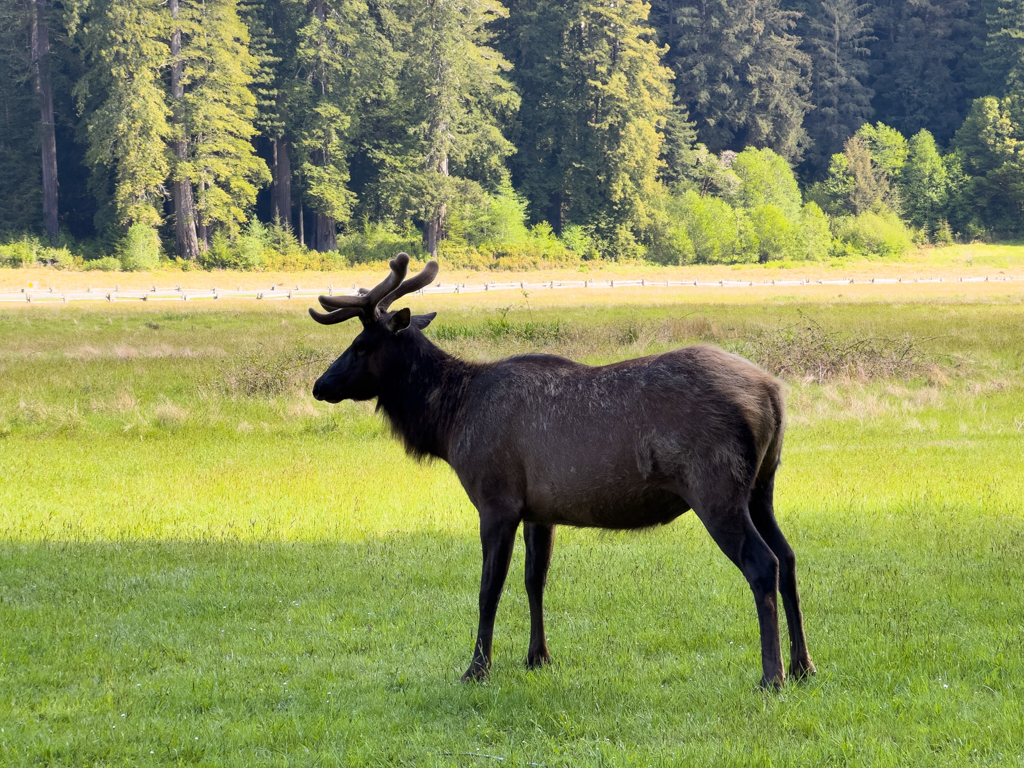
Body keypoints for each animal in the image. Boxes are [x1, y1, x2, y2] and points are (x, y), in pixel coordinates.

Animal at [307, 256, 811, 688]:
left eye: (360, 345)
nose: (319, 385)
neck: (449, 424)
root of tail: (774, 393)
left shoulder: (496, 500)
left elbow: (489, 588)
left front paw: (477, 667)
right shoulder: (539, 509)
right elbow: (536, 579)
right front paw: (538, 656)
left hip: (716, 486)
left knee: (763, 562)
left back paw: (772, 676)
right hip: (761, 487)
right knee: (787, 556)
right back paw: (804, 665)